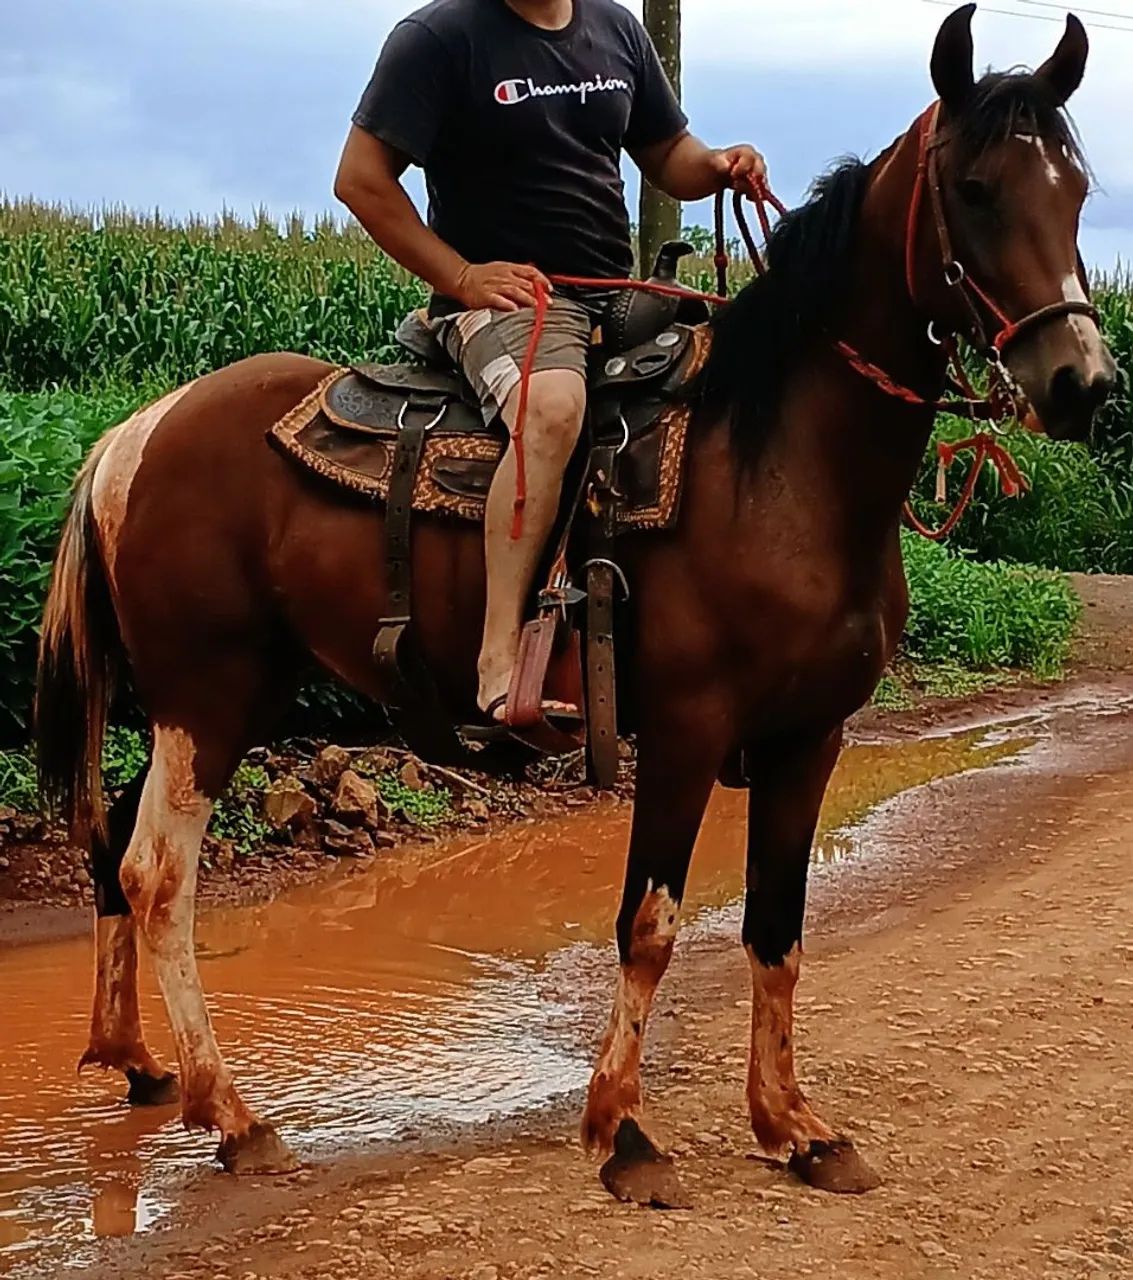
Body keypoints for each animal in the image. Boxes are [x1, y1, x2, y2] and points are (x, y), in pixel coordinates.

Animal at [36, 3, 1114, 1196]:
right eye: (973, 187)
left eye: (1075, 189)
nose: (1081, 382)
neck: (777, 465)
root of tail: (138, 430)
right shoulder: (687, 730)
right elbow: (649, 923)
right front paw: (623, 1131)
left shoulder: (809, 737)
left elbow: (777, 928)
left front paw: (791, 1125)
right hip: (208, 696)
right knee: (158, 876)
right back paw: (230, 1114)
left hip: (211, 702)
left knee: (112, 846)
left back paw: (137, 1061)